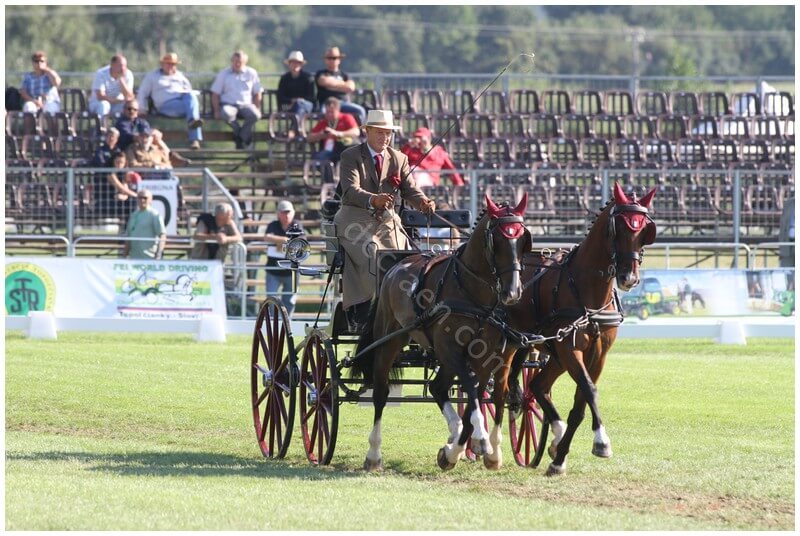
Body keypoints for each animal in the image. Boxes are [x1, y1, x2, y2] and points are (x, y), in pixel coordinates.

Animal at [351, 193, 532, 471]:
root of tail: (398, 264)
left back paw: (454, 437)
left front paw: (463, 449)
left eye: (523, 240)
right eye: (498, 241)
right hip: (389, 340)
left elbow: (479, 395)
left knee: (438, 387)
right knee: (381, 393)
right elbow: (472, 390)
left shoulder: (484, 354)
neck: (470, 292)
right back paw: (373, 454)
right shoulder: (450, 349)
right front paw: (478, 439)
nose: (512, 292)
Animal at [499, 182, 657, 476]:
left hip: (552, 353)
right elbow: (590, 391)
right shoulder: (571, 350)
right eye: (619, 228)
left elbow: (580, 403)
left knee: (537, 386)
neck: (587, 293)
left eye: (644, 231)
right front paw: (602, 442)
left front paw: (559, 458)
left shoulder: (598, 354)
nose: (629, 278)